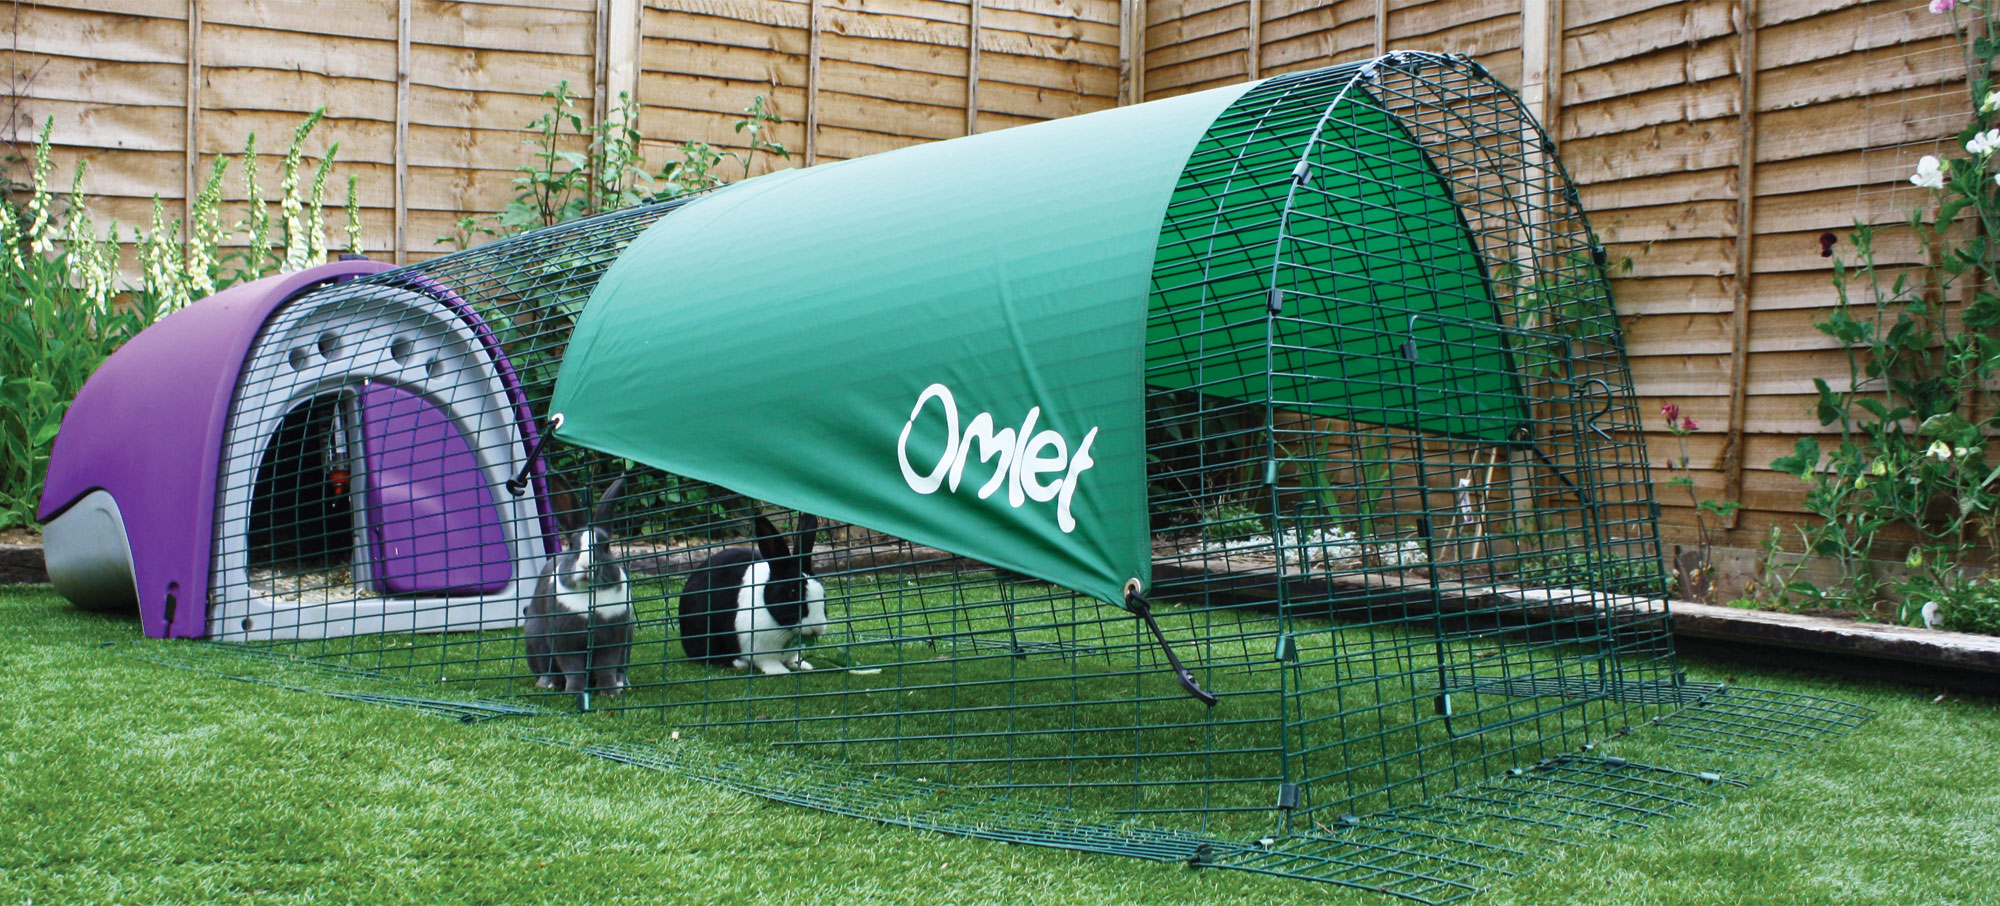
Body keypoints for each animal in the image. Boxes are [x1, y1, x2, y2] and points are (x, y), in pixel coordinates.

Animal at [524, 474, 633, 695]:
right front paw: (575, 691)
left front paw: (610, 692)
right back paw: (548, 683)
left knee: (620, 668)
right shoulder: (566, 641)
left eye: (606, 545)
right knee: (546, 666)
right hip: (534, 636)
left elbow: (606, 666)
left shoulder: (612, 638)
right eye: (573, 544)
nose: (586, 565)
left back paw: (622, 684)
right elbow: (573, 668)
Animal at [678, 512, 827, 675]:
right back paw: (738, 663)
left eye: (823, 592)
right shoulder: (757, 649)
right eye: (793, 593)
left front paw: (804, 665)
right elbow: (768, 662)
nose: (817, 628)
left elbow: (793, 659)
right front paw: (780, 671)